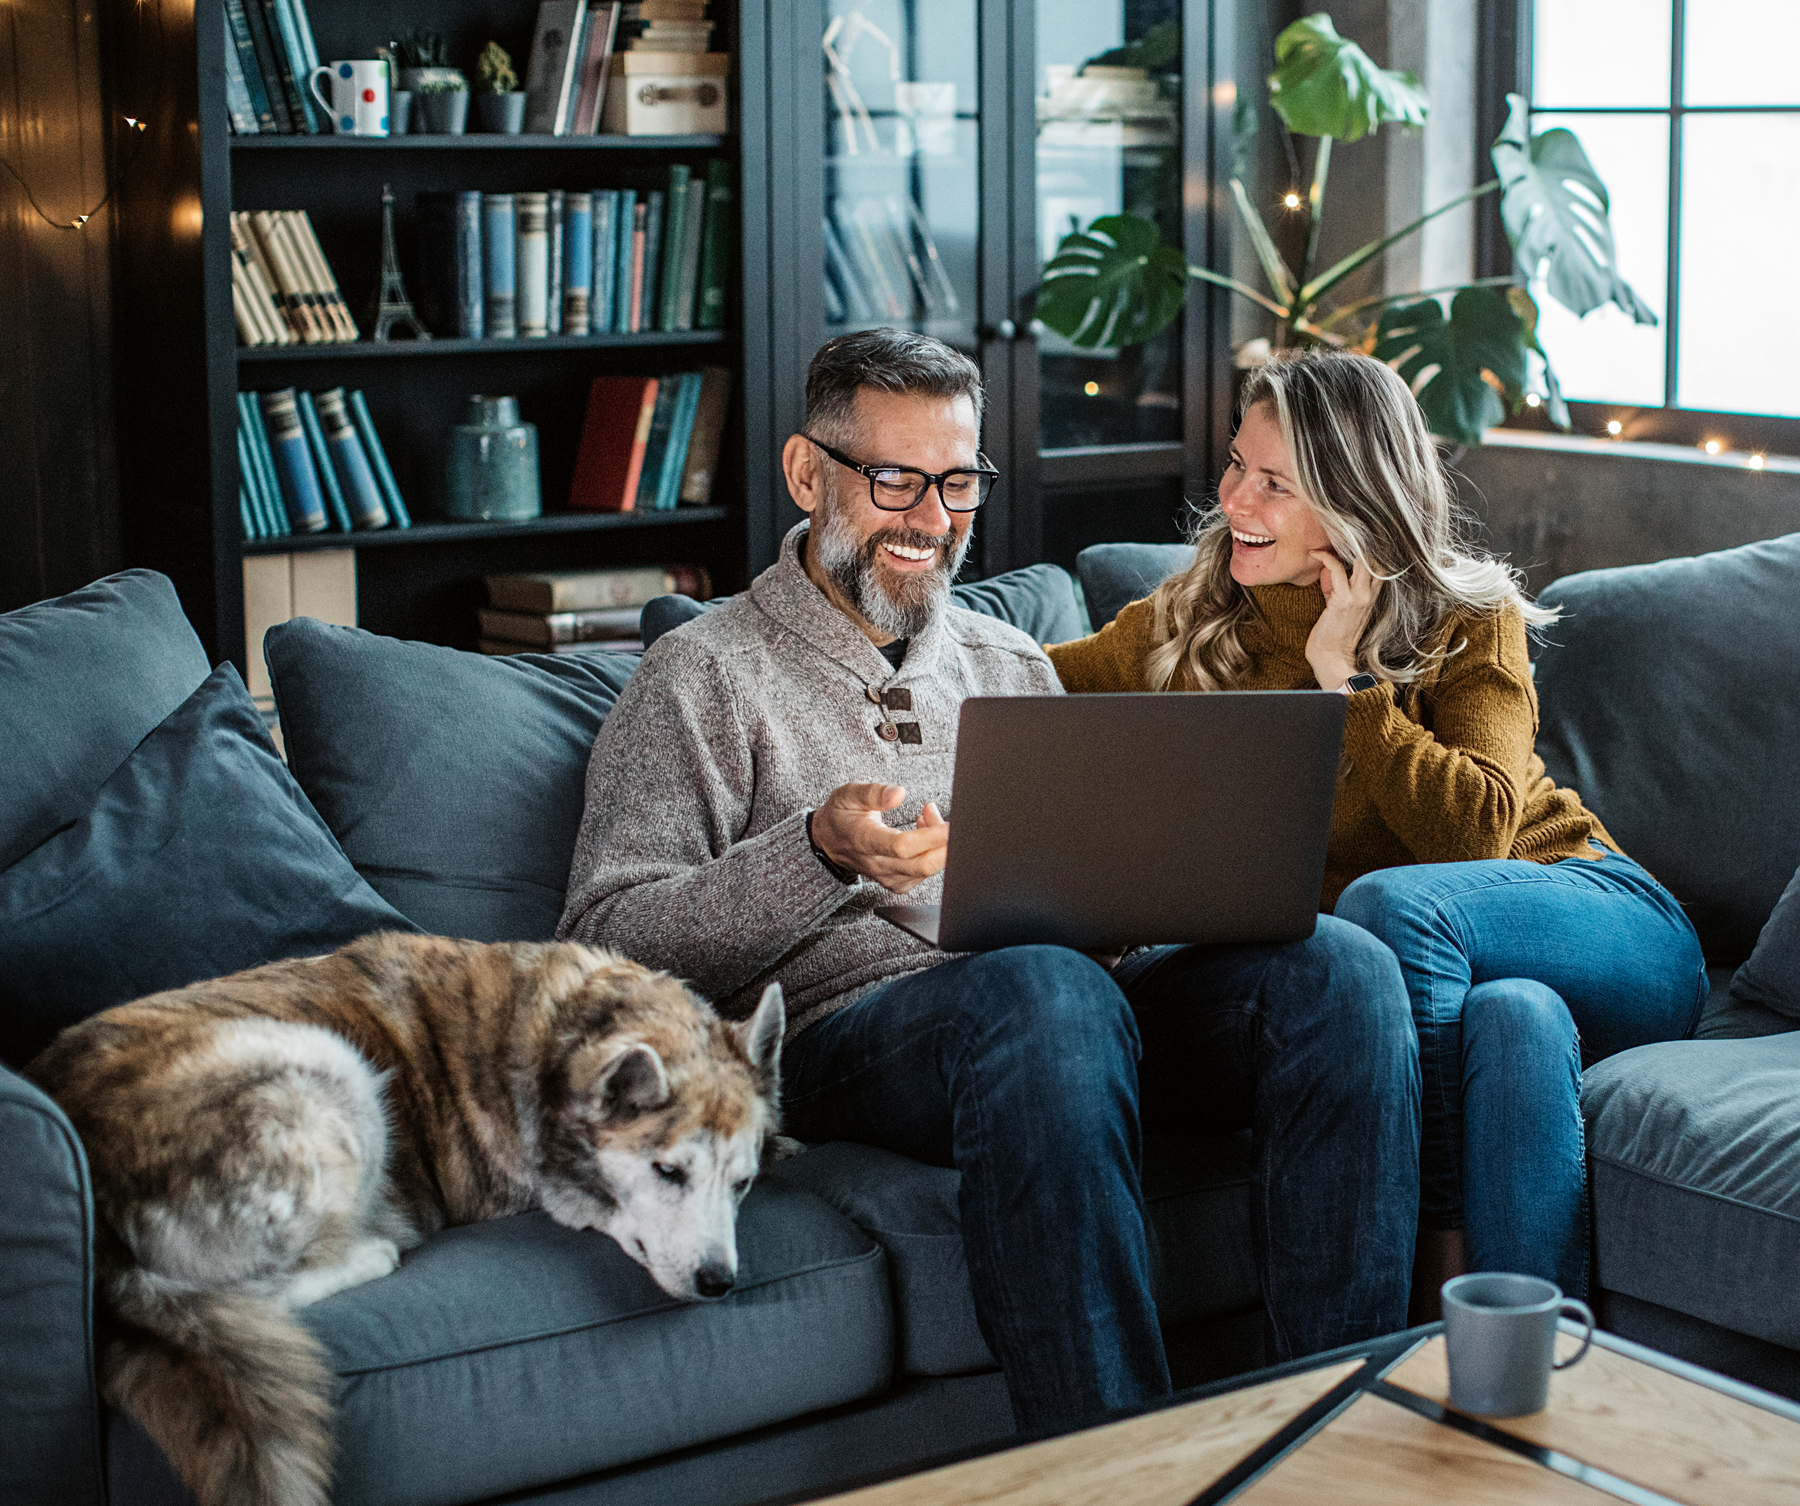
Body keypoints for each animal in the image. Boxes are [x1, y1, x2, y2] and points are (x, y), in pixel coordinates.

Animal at [22, 928, 781, 1504]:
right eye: (668, 1172)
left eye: (743, 1184)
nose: (720, 1283)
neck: (560, 1039)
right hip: (326, 1065)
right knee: (256, 1288)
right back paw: (374, 1247)